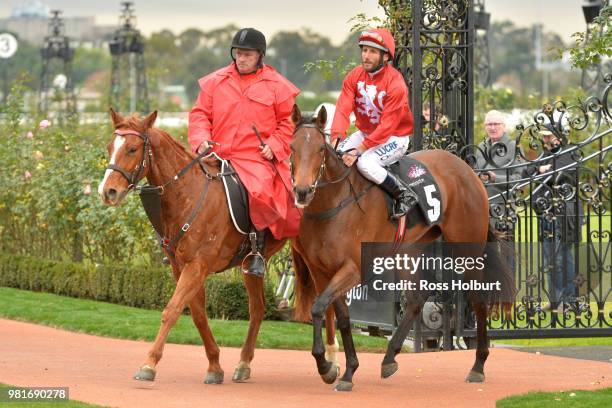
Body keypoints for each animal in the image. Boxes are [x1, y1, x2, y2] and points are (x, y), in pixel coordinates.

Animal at [98, 108, 338, 382]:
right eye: (109, 147)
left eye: (132, 148)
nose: (108, 191)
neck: (189, 195)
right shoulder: (182, 269)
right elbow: (198, 316)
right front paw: (214, 365)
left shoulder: (197, 266)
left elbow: (172, 310)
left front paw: (149, 363)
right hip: (251, 266)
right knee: (258, 308)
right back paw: (244, 363)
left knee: (328, 304)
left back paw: (331, 361)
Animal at [290, 106, 512, 392]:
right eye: (292, 147)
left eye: (319, 149)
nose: (302, 191)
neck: (334, 203)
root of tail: (467, 169)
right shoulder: (323, 271)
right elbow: (340, 317)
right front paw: (343, 370)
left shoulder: (353, 269)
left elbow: (318, 308)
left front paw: (328, 366)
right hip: (409, 251)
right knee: (416, 300)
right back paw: (389, 358)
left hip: (467, 248)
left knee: (479, 299)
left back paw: (478, 366)